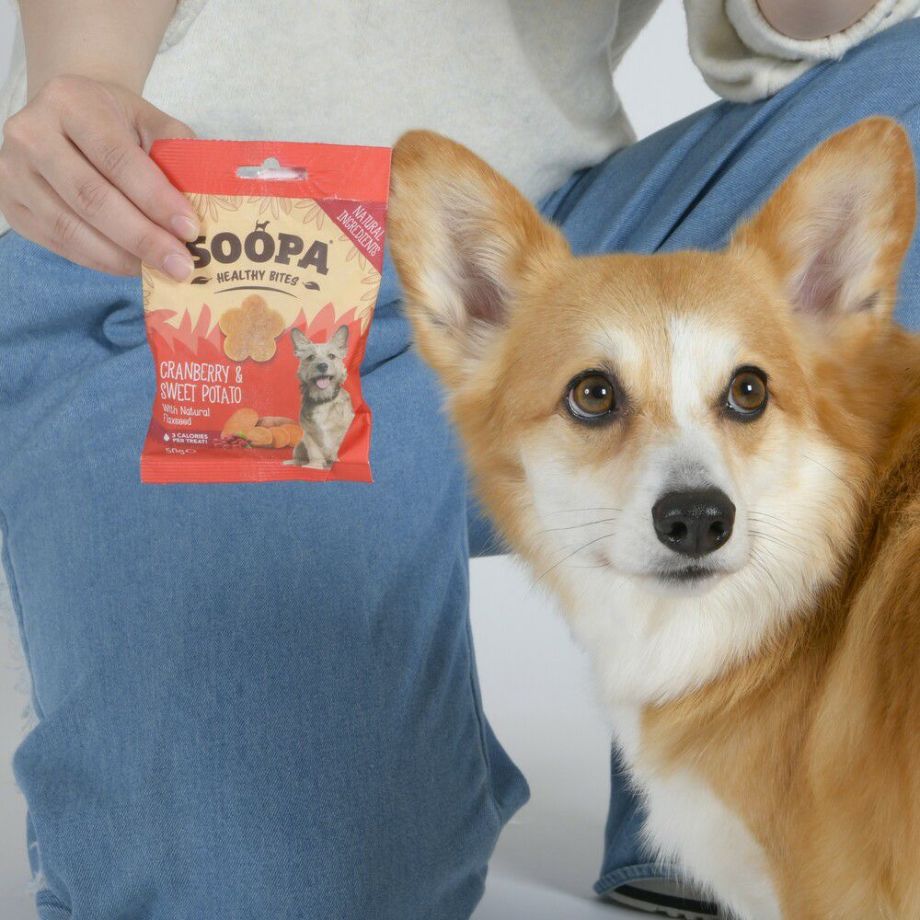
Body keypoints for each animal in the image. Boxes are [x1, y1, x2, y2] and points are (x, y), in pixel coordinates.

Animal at [285, 325, 354, 469]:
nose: (322, 365)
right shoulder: (309, 434)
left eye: (332, 356)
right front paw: (314, 466)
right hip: (299, 445)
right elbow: (314, 451)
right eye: (311, 357)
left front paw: (335, 461)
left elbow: (336, 447)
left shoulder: (342, 430)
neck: (323, 400)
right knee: (299, 457)